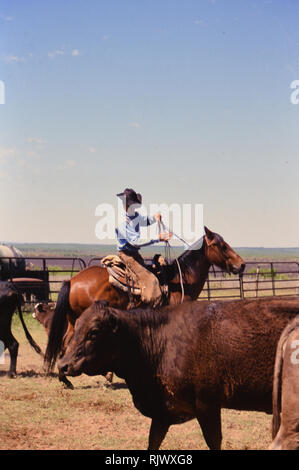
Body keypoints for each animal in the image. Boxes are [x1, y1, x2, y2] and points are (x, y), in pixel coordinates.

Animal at [44, 226, 246, 388]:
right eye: (222, 245)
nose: (242, 265)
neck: (180, 280)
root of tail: (72, 280)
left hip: (74, 321)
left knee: (65, 343)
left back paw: (68, 378)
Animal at [58, 296, 299, 450]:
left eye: (94, 331)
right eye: (76, 325)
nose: (63, 365)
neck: (161, 342)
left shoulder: (207, 406)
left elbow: (214, 441)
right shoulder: (162, 413)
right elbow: (153, 442)